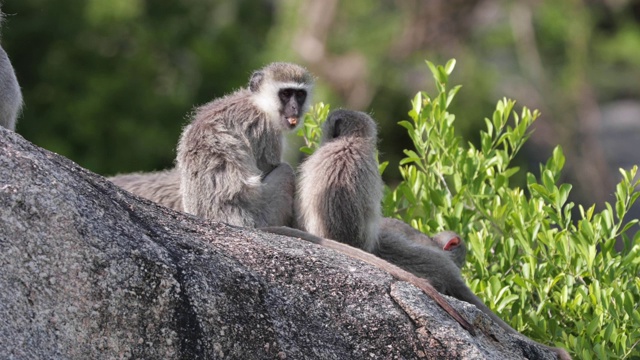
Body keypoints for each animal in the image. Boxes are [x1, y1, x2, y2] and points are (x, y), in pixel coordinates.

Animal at [112, 61, 318, 225]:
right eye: (286, 94)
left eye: (300, 95)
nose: (295, 108)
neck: (258, 104)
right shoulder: (265, 131)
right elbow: (268, 167)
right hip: (260, 215)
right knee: (285, 171)